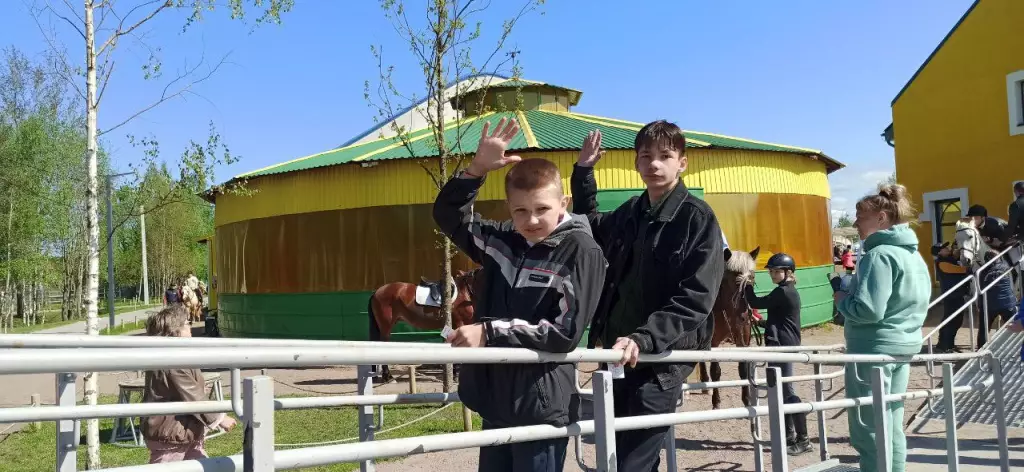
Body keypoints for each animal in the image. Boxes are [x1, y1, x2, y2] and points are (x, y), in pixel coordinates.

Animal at [696, 246, 761, 407]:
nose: (745, 316)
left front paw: (746, 400)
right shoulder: (712, 343)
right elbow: (715, 371)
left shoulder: (742, 339)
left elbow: (743, 369)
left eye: (752, 278)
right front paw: (716, 402)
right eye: (733, 280)